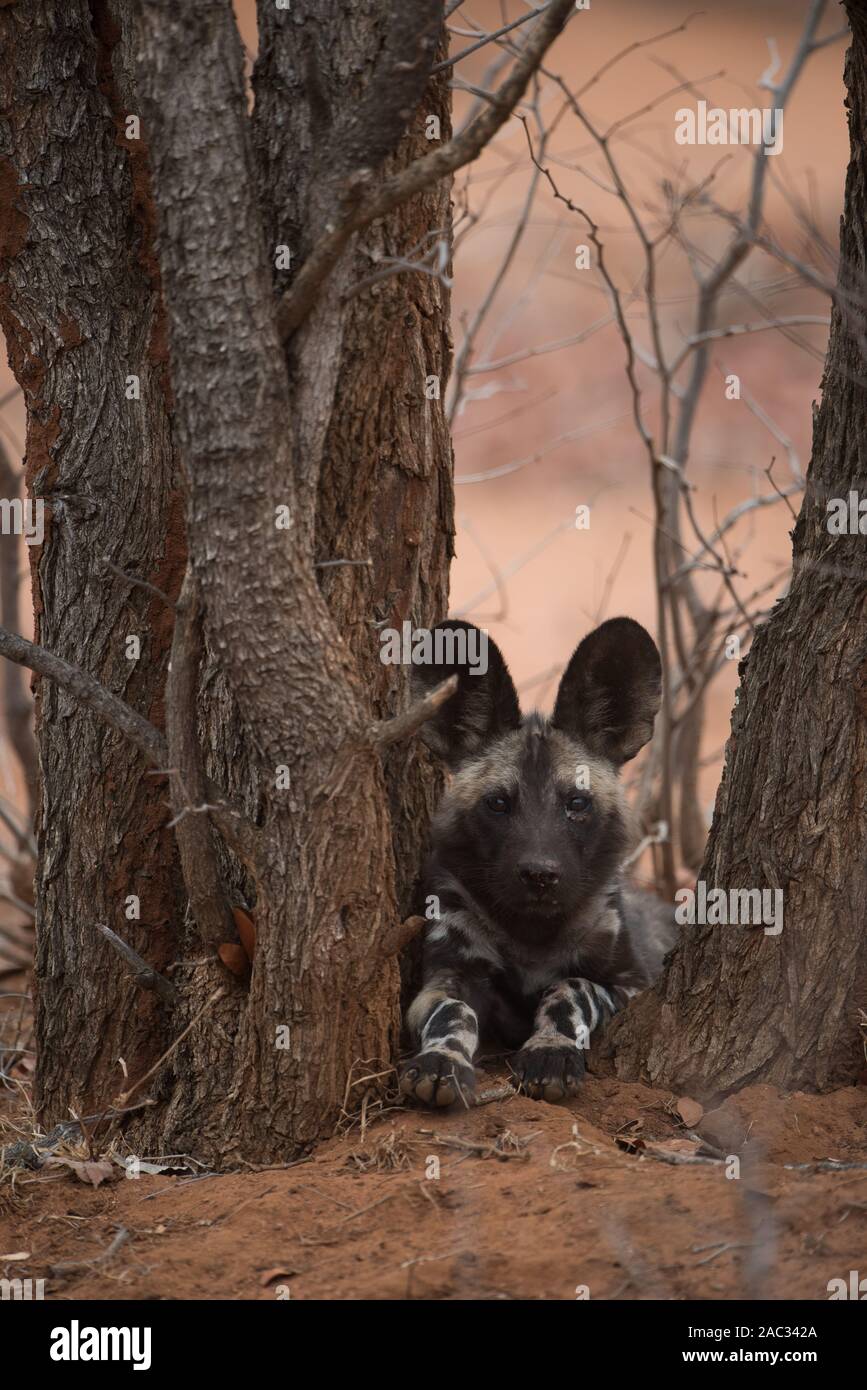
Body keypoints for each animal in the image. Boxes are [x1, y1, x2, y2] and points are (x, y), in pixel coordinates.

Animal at [400, 619, 678, 1106]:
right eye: (498, 804)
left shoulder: (632, 986)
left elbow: (571, 988)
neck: (531, 933)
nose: (539, 874)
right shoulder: (447, 976)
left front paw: (550, 1051)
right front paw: (443, 1061)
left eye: (577, 803)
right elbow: (453, 1014)